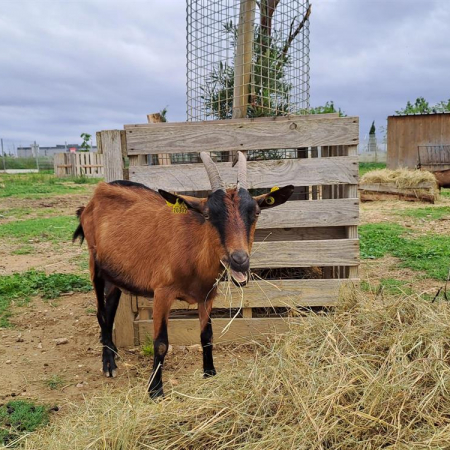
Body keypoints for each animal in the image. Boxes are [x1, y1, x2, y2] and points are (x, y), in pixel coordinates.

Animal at [73, 152, 294, 398]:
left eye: (256, 212)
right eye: (208, 215)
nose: (240, 260)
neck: (192, 252)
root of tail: (94, 197)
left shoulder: (207, 295)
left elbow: (207, 336)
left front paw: (210, 373)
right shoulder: (162, 292)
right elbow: (161, 343)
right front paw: (155, 390)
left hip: (116, 273)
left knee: (110, 309)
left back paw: (113, 355)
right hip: (95, 266)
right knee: (101, 314)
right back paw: (108, 364)